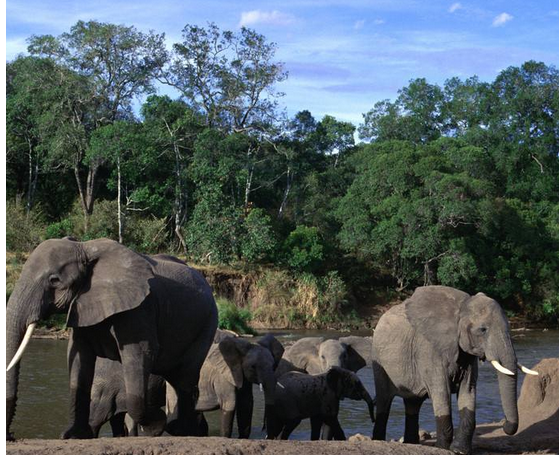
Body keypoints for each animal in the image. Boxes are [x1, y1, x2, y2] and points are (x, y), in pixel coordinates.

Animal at [6, 237, 219, 440]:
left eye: (54, 280)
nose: (11, 436)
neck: (84, 247)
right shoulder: (82, 305)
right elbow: (79, 357)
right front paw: (73, 436)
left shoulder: (140, 309)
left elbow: (140, 354)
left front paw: (154, 425)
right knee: (176, 379)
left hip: (207, 323)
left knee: (185, 378)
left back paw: (184, 430)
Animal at [370, 286, 536, 454]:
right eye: (483, 330)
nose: (505, 425)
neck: (460, 307)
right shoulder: (429, 350)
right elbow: (441, 391)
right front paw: (442, 448)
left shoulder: (467, 355)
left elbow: (468, 391)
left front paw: (459, 450)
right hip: (379, 361)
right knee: (384, 401)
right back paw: (379, 439)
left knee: (412, 404)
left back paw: (412, 443)